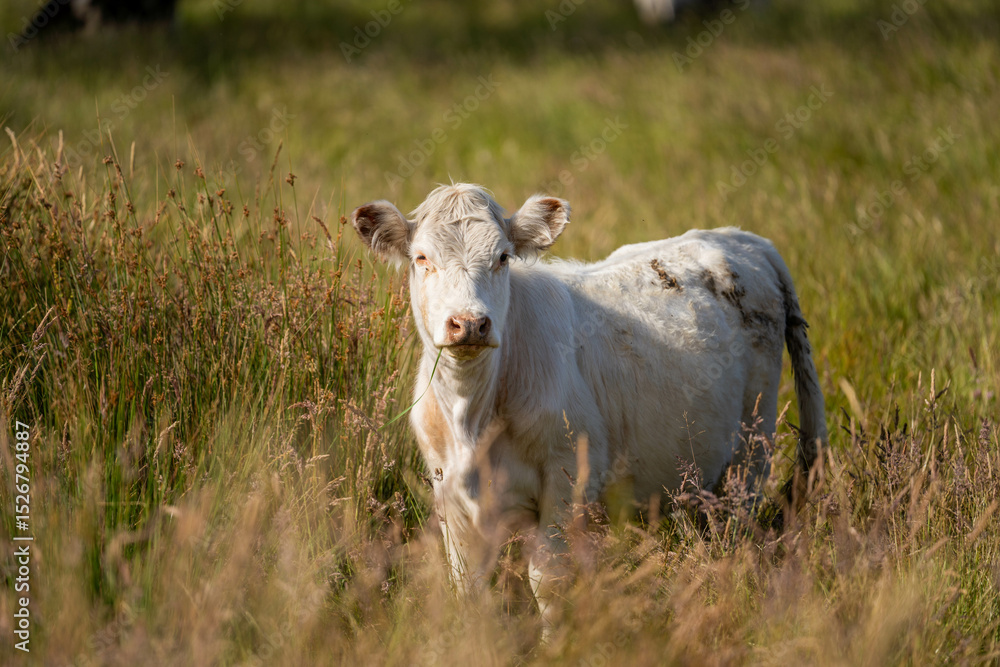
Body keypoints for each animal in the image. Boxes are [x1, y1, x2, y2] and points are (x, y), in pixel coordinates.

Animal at [351, 183, 826, 628]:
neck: (472, 414)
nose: (469, 323)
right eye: (421, 258)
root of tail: (741, 238)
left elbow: (548, 580)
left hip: (752, 449)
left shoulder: (570, 475)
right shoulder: (448, 488)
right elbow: (468, 585)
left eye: (503, 257)